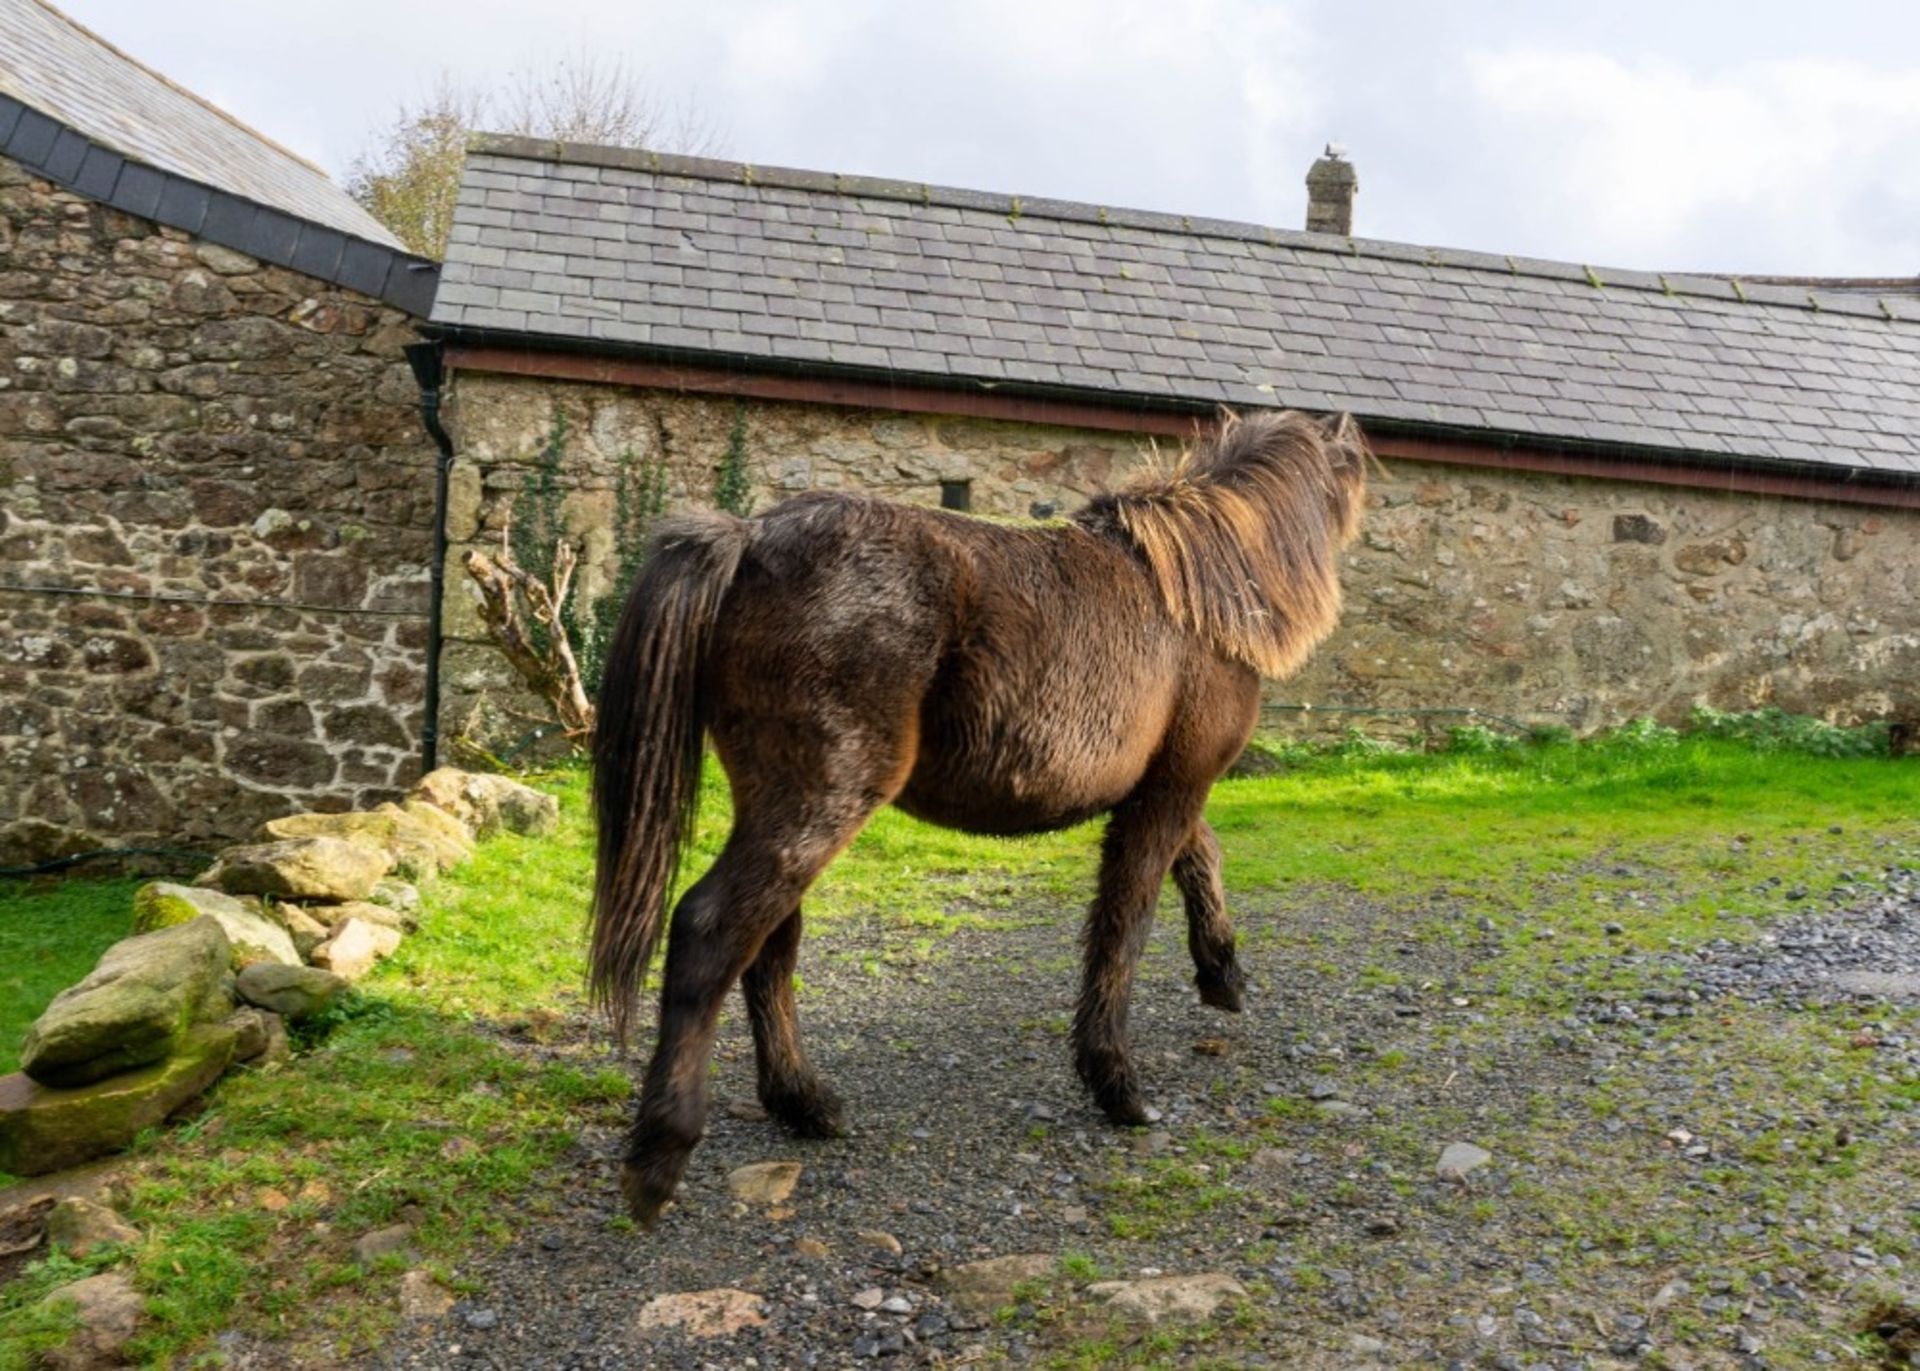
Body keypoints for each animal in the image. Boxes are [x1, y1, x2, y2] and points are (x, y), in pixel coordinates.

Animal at [595, 408, 1367, 1221]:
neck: (1193, 590)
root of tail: (747, 537)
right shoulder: (1174, 787)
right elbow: (1125, 921)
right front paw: (1118, 1085)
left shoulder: (1166, 787)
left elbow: (1201, 858)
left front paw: (1222, 973)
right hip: (820, 802)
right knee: (711, 930)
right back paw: (660, 1157)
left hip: (780, 805)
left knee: (768, 943)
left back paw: (804, 1104)